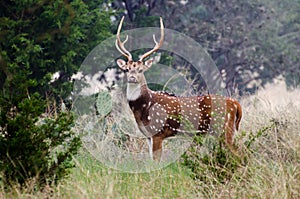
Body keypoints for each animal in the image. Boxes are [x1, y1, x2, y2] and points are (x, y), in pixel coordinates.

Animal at [115, 16, 241, 161]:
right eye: (127, 69)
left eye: (140, 70)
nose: (132, 78)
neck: (143, 107)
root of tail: (236, 104)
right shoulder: (147, 135)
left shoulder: (158, 133)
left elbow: (156, 161)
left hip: (225, 128)